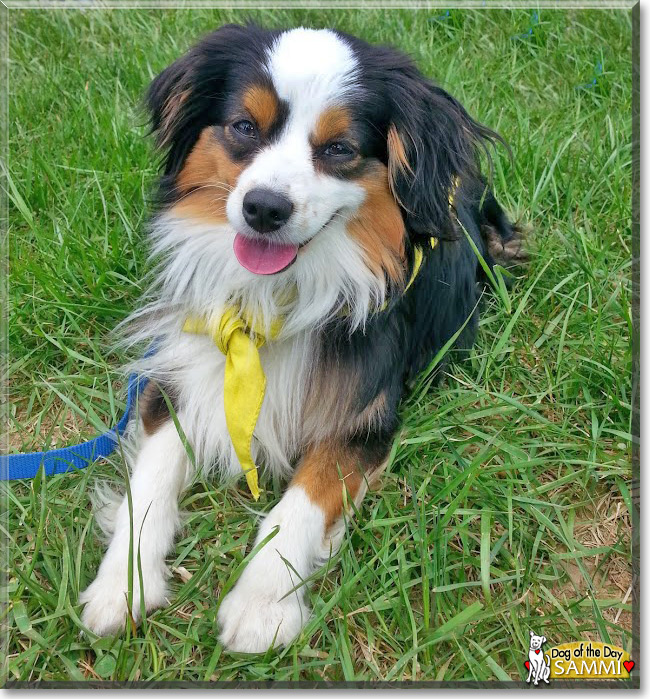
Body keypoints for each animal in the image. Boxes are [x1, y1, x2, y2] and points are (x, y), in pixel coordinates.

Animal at [78, 23, 524, 656]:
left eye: (338, 149)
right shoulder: (185, 367)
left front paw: (261, 604)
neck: (280, 300)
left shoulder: (364, 417)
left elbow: (302, 501)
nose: (264, 208)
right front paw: (122, 584)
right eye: (244, 127)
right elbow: (150, 483)